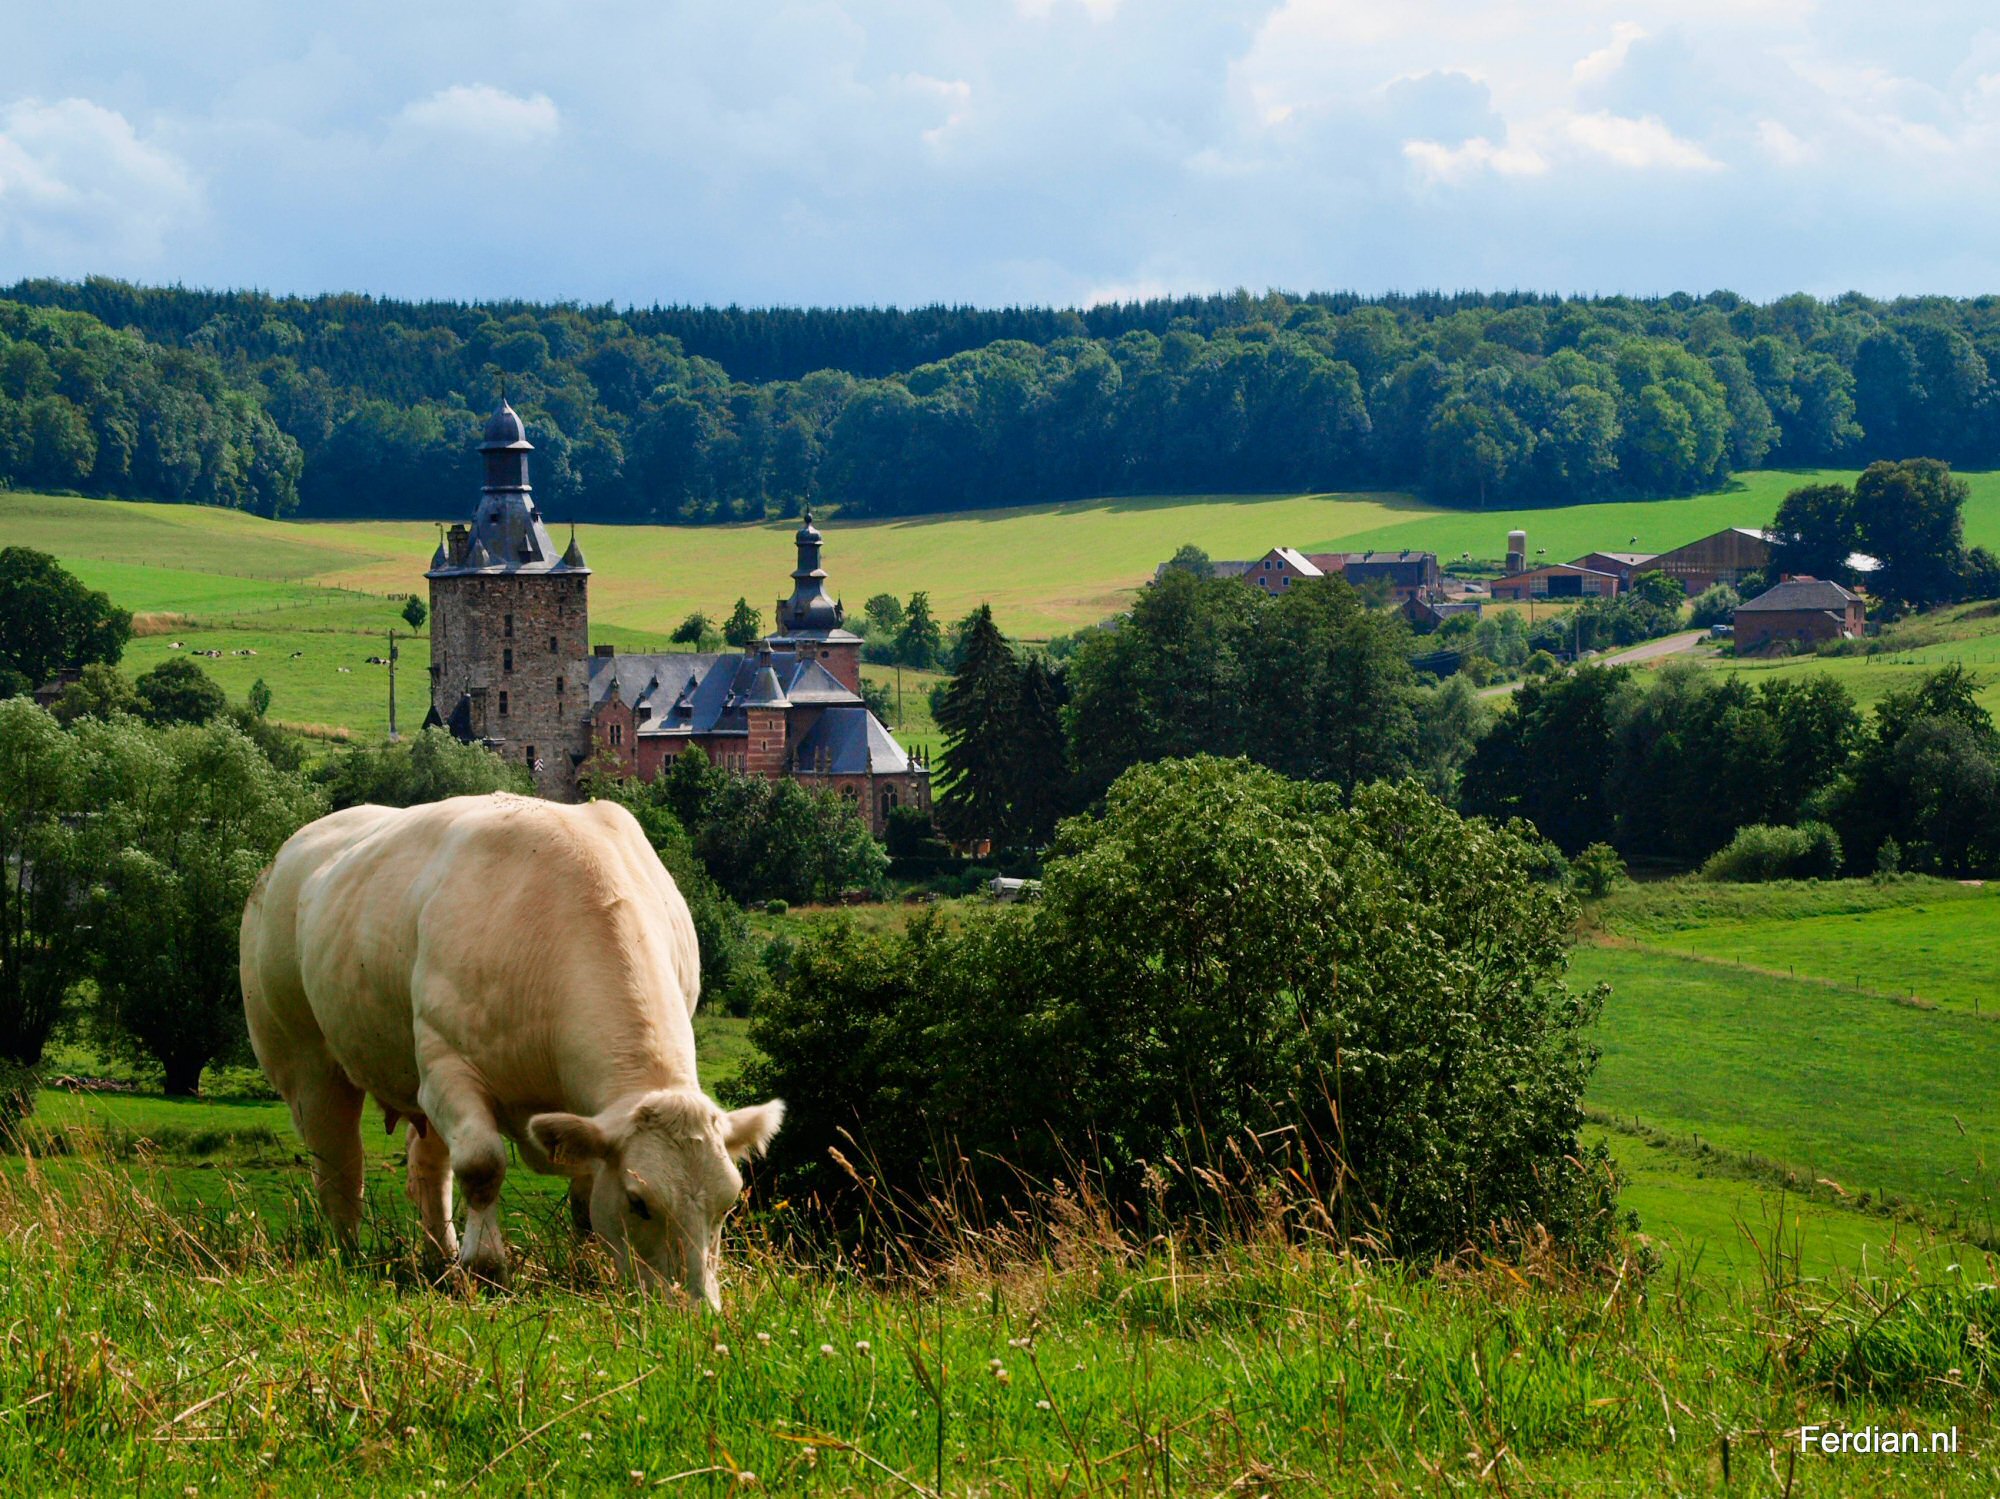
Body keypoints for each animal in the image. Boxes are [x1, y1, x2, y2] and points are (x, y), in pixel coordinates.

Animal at [238, 799, 784, 1303]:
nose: (696, 1310)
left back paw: (438, 1258)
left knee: (426, 1166)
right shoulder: (446, 1065)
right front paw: (485, 1268)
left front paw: (588, 1268)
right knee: (339, 1168)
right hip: (307, 1063)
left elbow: (583, 1197)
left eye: (728, 1203)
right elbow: (483, 1164)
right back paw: (347, 1256)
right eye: (639, 1201)